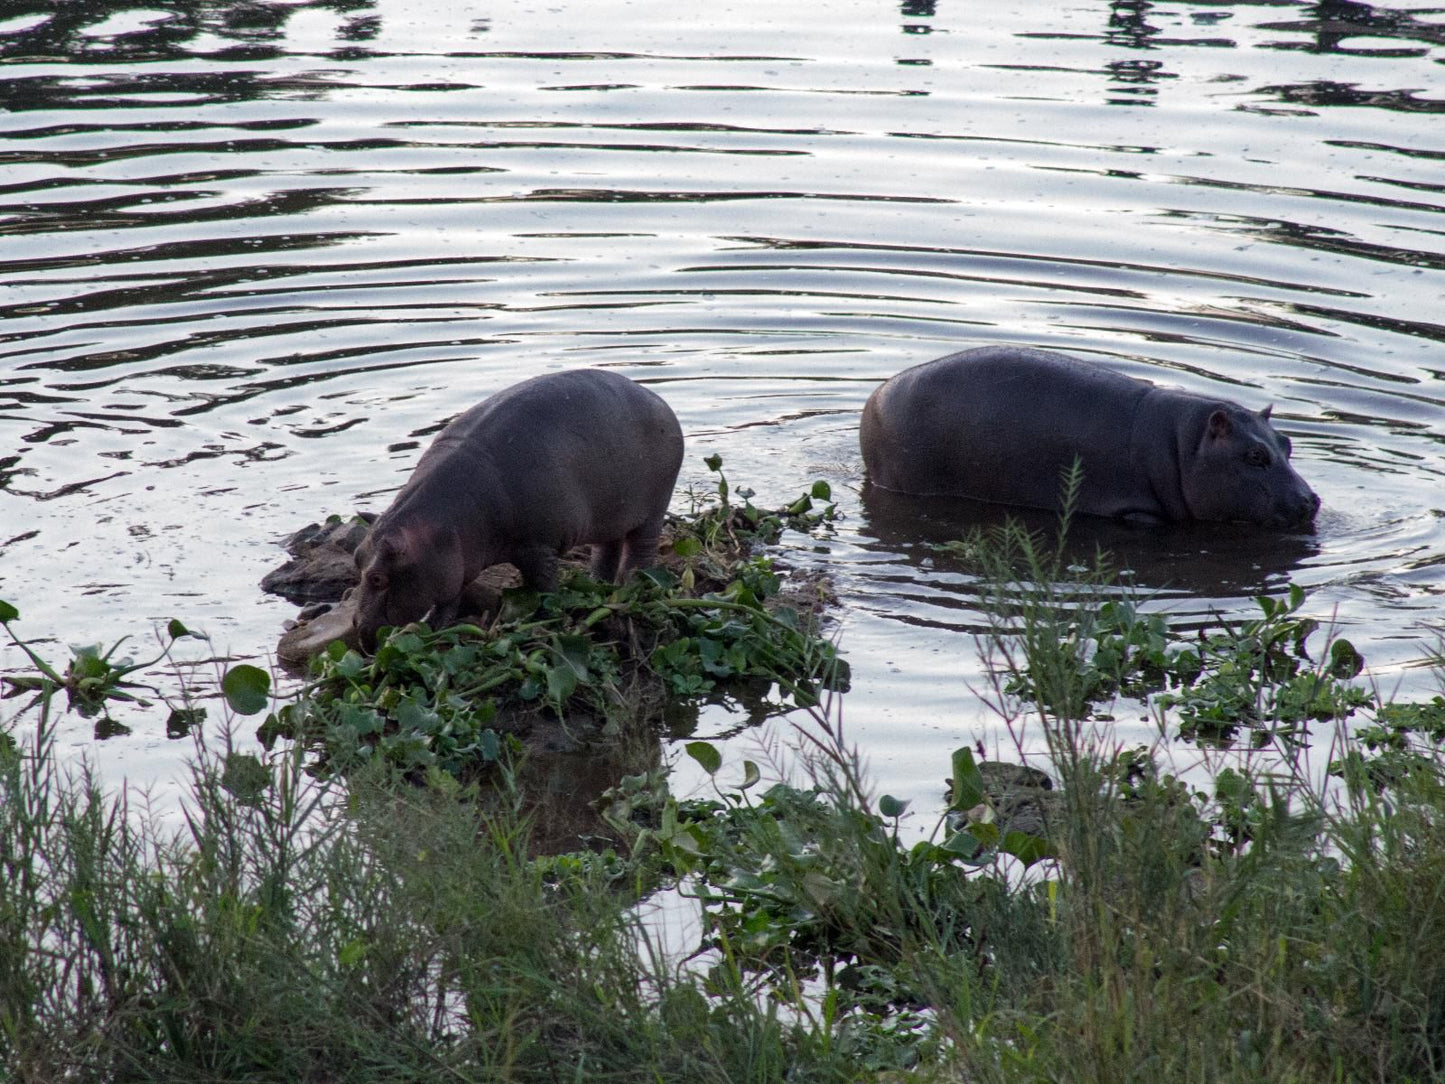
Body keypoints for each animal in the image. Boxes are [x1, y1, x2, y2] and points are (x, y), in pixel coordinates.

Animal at [352, 370, 684, 650]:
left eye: (377, 578)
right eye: (356, 558)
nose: (357, 628)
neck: (438, 525)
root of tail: (659, 400)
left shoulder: (537, 546)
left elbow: (544, 586)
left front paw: (544, 619)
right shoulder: (454, 563)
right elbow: (449, 601)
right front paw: (435, 630)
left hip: (653, 508)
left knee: (641, 550)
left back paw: (632, 587)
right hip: (611, 515)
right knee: (607, 549)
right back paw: (597, 584)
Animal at [855, 348, 1323, 531]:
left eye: (1286, 444)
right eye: (1255, 455)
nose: (1311, 501)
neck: (1185, 444)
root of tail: (875, 397)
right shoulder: (1136, 511)